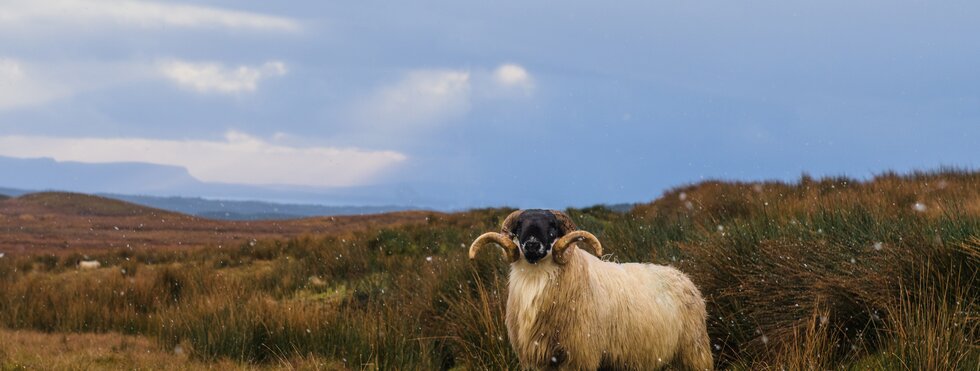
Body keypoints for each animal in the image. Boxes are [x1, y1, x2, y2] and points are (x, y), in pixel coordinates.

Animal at [468, 211, 712, 370]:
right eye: (519, 226)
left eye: (552, 226)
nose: (532, 245)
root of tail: (684, 277)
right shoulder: (537, 359)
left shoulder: (580, 356)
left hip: (694, 351)